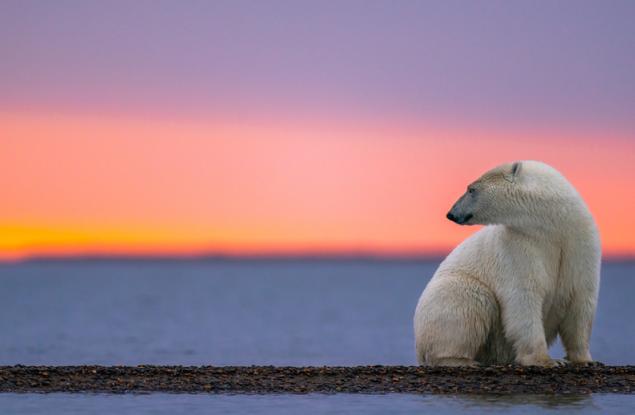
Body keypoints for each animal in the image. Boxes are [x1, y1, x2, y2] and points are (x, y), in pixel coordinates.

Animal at [412, 162, 600, 368]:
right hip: (451, 292)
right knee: (470, 302)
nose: (451, 213)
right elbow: (524, 297)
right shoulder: (519, 246)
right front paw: (547, 361)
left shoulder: (580, 244)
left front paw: (584, 359)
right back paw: (460, 359)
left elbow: (581, 302)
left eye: (471, 189)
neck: (553, 227)